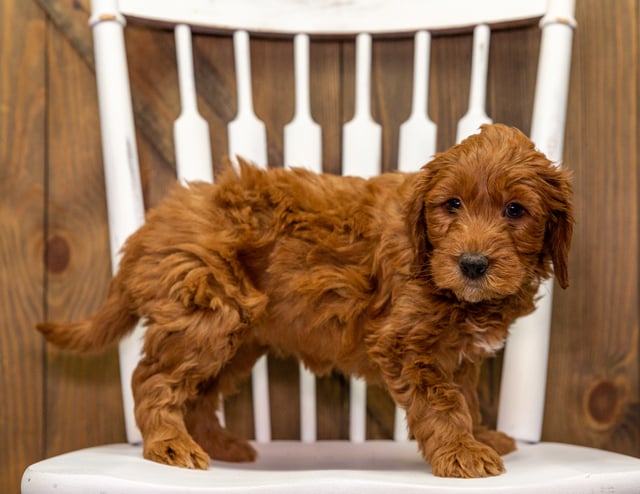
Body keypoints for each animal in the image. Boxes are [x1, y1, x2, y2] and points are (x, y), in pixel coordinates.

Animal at [38, 124, 576, 478]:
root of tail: (151, 225)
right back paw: (168, 444)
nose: (472, 265)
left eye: (515, 210)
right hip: (204, 318)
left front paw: (480, 435)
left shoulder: (458, 354)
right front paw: (463, 451)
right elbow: (442, 401)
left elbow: (464, 395)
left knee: (200, 394)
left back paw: (219, 444)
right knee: (153, 380)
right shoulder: (404, 344)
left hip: (236, 341)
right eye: (452, 205)